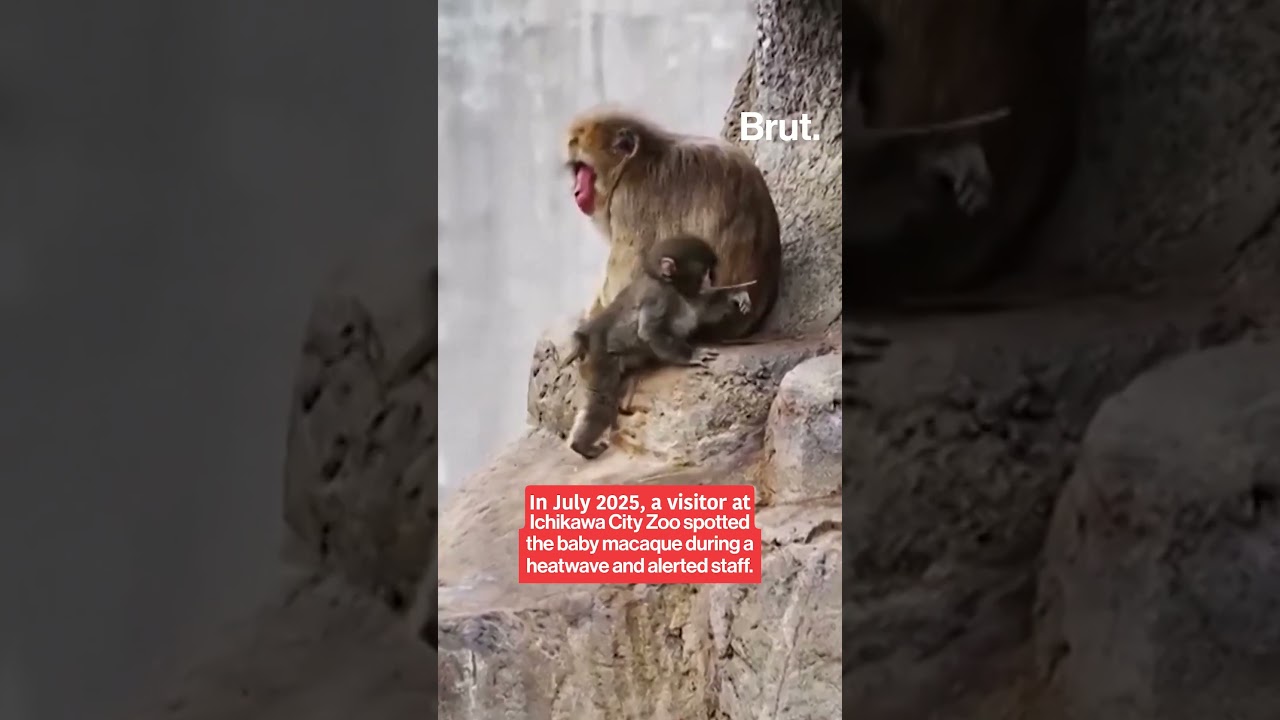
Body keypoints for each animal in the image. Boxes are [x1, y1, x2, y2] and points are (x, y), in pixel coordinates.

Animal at [561, 235, 753, 459]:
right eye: (705, 271)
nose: (711, 280)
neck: (665, 282)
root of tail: (586, 334)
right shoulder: (659, 296)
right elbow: (650, 331)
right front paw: (691, 355)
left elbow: (701, 309)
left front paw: (736, 295)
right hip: (599, 357)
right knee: (601, 400)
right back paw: (581, 446)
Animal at [564, 108, 781, 341]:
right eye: (577, 171)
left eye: (585, 170)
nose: (577, 191)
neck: (637, 162)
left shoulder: (629, 201)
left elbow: (624, 280)